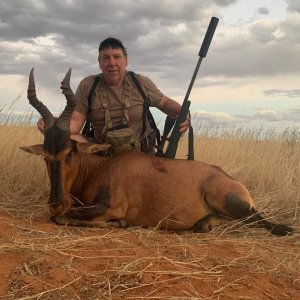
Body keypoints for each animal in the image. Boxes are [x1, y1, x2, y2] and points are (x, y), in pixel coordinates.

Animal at [20, 69, 292, 236]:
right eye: (45, 156)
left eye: (69, 153)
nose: (56, 202)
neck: (102, 167)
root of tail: (228, 177)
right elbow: (62, 216)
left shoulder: (110, 206)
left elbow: (66, 216)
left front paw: (120, 223)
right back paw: (204, 224)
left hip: (230, 201)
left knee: (258, 221)